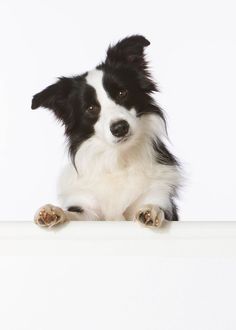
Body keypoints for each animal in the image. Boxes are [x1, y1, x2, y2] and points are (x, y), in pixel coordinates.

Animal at [31, 35, 181, 227]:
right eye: (90, 108)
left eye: (122, 92)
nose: (120, 128)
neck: (119, 159)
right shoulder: (88, 208)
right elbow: (75, 214)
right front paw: (54, 211)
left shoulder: (159, 195)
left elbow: (153, 206)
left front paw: (150, 210)